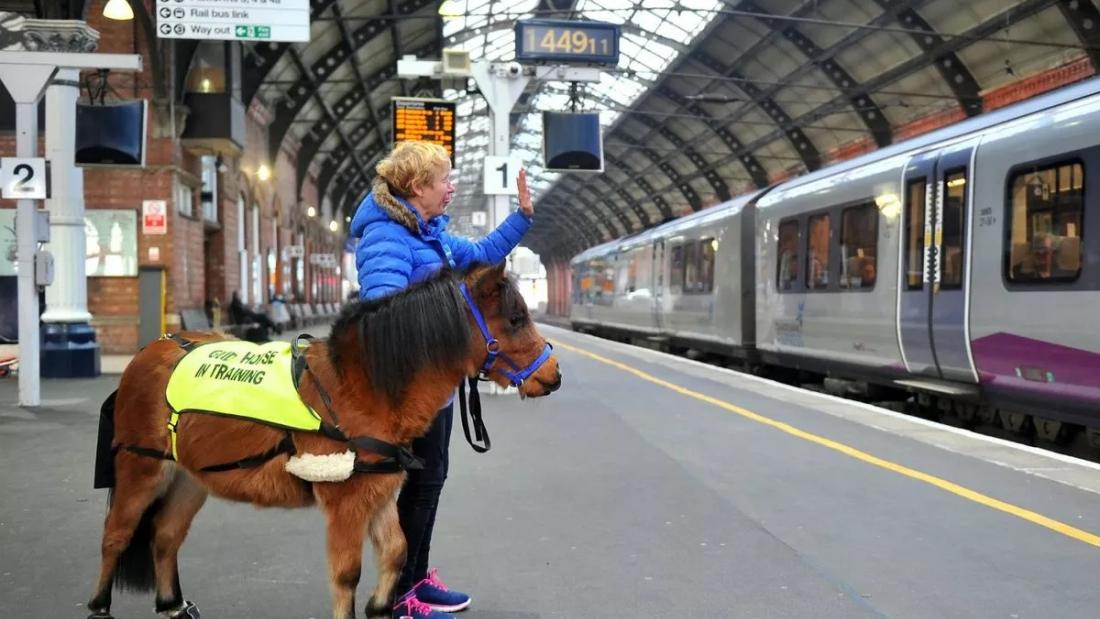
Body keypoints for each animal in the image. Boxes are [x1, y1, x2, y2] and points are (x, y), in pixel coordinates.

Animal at [86, 263, 562, 619]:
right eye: (515, 319)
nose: (553, 374)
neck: (361, 386)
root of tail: (148, 352)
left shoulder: (379, 492)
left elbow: (396, 552)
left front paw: (380, 607)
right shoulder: (346, 502)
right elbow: (347, 573)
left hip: (191, 478)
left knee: (165, 536)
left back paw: (172, 604)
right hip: (141, 468)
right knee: (115, 535)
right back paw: (99, 606)